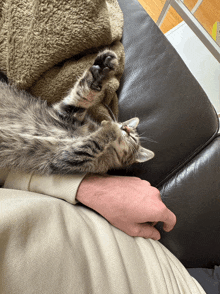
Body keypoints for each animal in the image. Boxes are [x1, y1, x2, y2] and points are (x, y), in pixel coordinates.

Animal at [0, 49, 155, 176]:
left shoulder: (69, 157)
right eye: (125, 126)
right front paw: (101, 67)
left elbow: (95, 141)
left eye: (133, 138)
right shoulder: (66, 111)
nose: (125, 128)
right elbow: (84, 94)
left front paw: (109, 126)